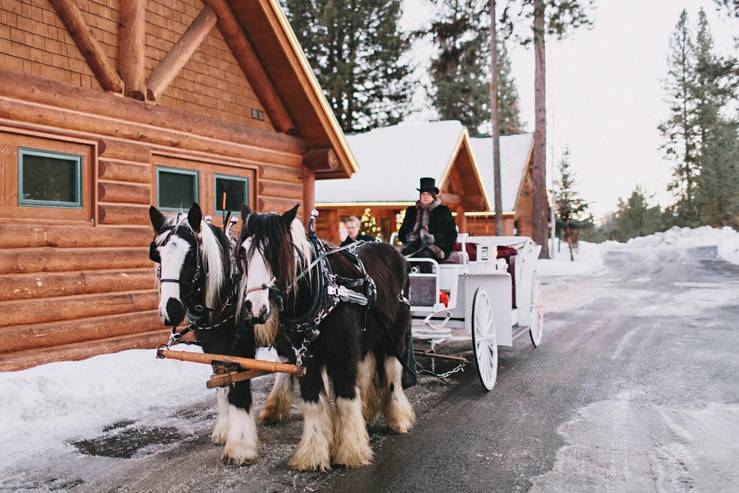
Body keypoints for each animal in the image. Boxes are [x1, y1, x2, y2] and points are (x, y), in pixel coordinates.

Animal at [148, 204, 264, 466]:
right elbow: (222, 383)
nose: (170, 310)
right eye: (157, 255)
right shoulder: (212, 347)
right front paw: (224, 429)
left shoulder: (242, 348)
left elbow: (238, 389)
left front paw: (240, 446)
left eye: (191, 255)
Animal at [236, 204, 414, 468]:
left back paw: (398, 419)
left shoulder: (343, 353)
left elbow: (346, 396)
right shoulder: (306, 357)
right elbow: (314, 401)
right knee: (369, 368)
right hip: (368, 337)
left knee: (392, 373)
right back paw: (368, 413)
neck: (322, 291)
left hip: (395, 335)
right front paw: (313, 453)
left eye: (275, 250)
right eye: (243, 251)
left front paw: (351, 450)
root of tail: (394, 251)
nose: (254, 307)